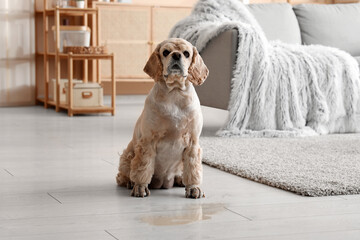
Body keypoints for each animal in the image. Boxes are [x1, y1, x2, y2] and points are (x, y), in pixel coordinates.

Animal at [116, 38, 210, 199]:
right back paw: (129, 182)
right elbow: (143, 167)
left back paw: (180, 180)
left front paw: (193, 188)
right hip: (126, 156)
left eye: (186, 53)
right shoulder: (147, 141)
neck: (175, 92)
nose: (176, 55)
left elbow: (193, 169)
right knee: (123, 174)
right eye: (166, 52)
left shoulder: (192, 142)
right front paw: (140, 187)